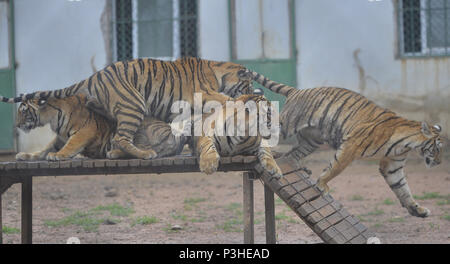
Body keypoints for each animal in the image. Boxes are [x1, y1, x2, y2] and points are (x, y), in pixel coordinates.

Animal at [0, 57, 253, 161]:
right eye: (249, 84)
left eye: (23, 111)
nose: (18, 124)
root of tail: (94, 76)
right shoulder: (206, 94)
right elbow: (224, 100)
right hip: (134, 105)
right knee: (121, 138)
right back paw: (142, 154)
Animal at [239, 69, 442, 218]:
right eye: (437, 148)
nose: (439, 162)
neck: (407, 144)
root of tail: (297, 90)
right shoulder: (351, 146)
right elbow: (334, 168)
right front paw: (322, 185)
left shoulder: (393, 166)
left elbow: (403, 189)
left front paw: (418, 210)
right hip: (286, 126)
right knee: (267, 137)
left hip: (312, 140)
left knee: (292, 154)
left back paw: (299, 167)